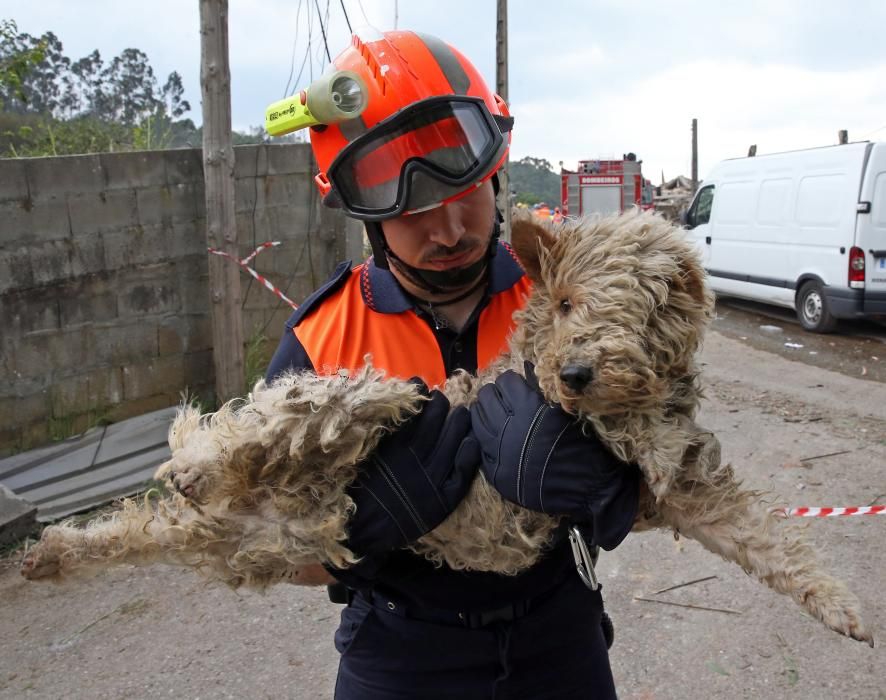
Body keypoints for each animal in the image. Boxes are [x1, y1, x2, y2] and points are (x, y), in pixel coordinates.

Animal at [20, 209, 876, 644]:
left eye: (637, 306)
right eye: (565, 301)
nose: (575, 373)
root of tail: (258, 501)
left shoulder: (678, 482)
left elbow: (759, 537)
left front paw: (841, 608)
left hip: (276, 536)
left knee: (151, 530)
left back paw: (56, 554)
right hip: (358, 400)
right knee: (281, 419)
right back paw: (200, 461)